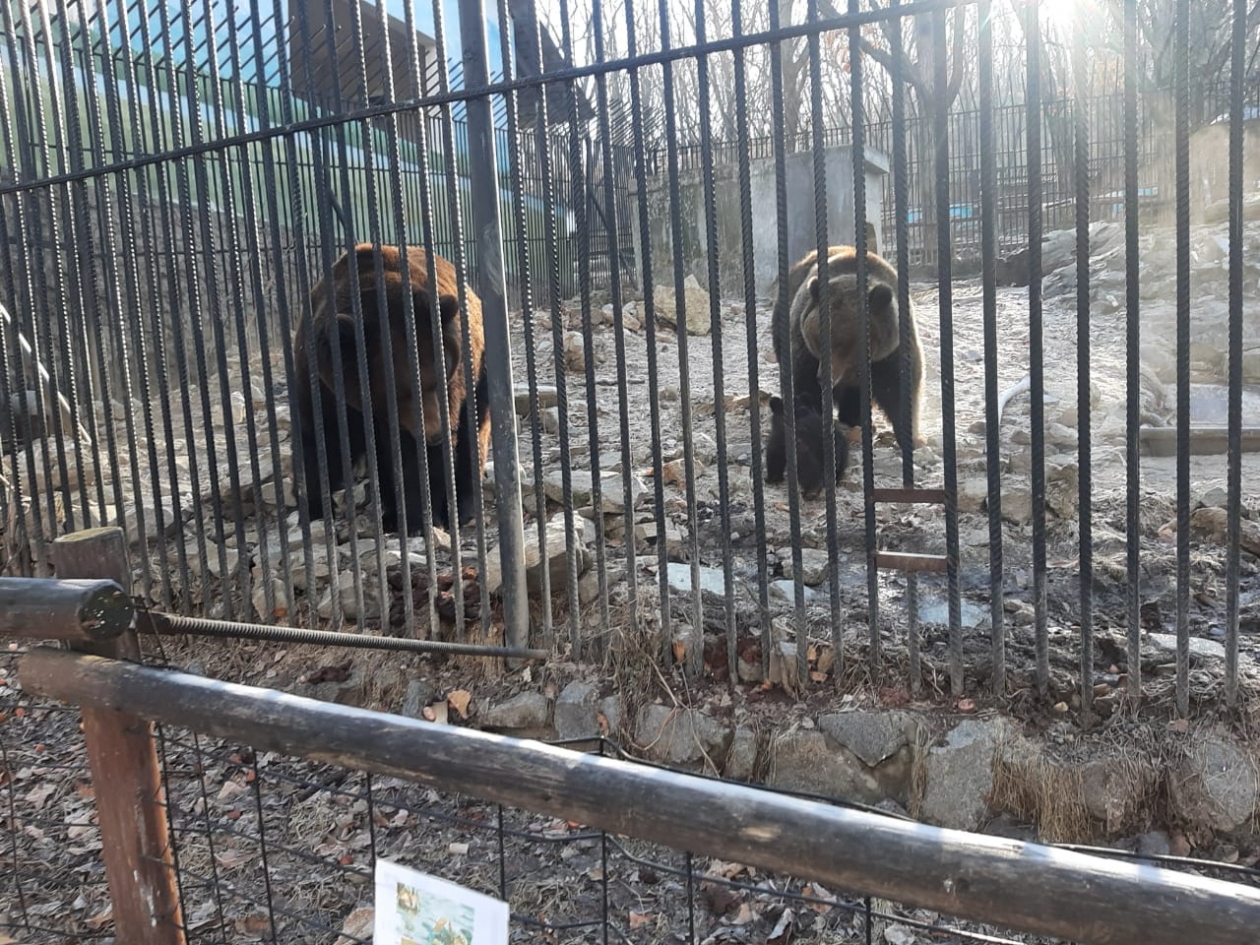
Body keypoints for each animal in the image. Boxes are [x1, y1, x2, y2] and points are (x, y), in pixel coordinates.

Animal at [292, 240, 488, 536]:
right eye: (400, 392)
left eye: (436, 379)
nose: (435, 434)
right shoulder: (319, 380)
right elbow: (320, 437)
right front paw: (314, 509)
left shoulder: (454, 378)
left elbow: (415, 460)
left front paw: (422, 519)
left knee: (471, 433)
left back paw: (464, 508)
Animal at [766, 244, 927, 463]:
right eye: (818, 339)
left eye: (844, 344)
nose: (824, 377)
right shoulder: (805, 350)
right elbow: (804, 385)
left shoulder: (891, 351)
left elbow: (899, 387)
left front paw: (914, 439)